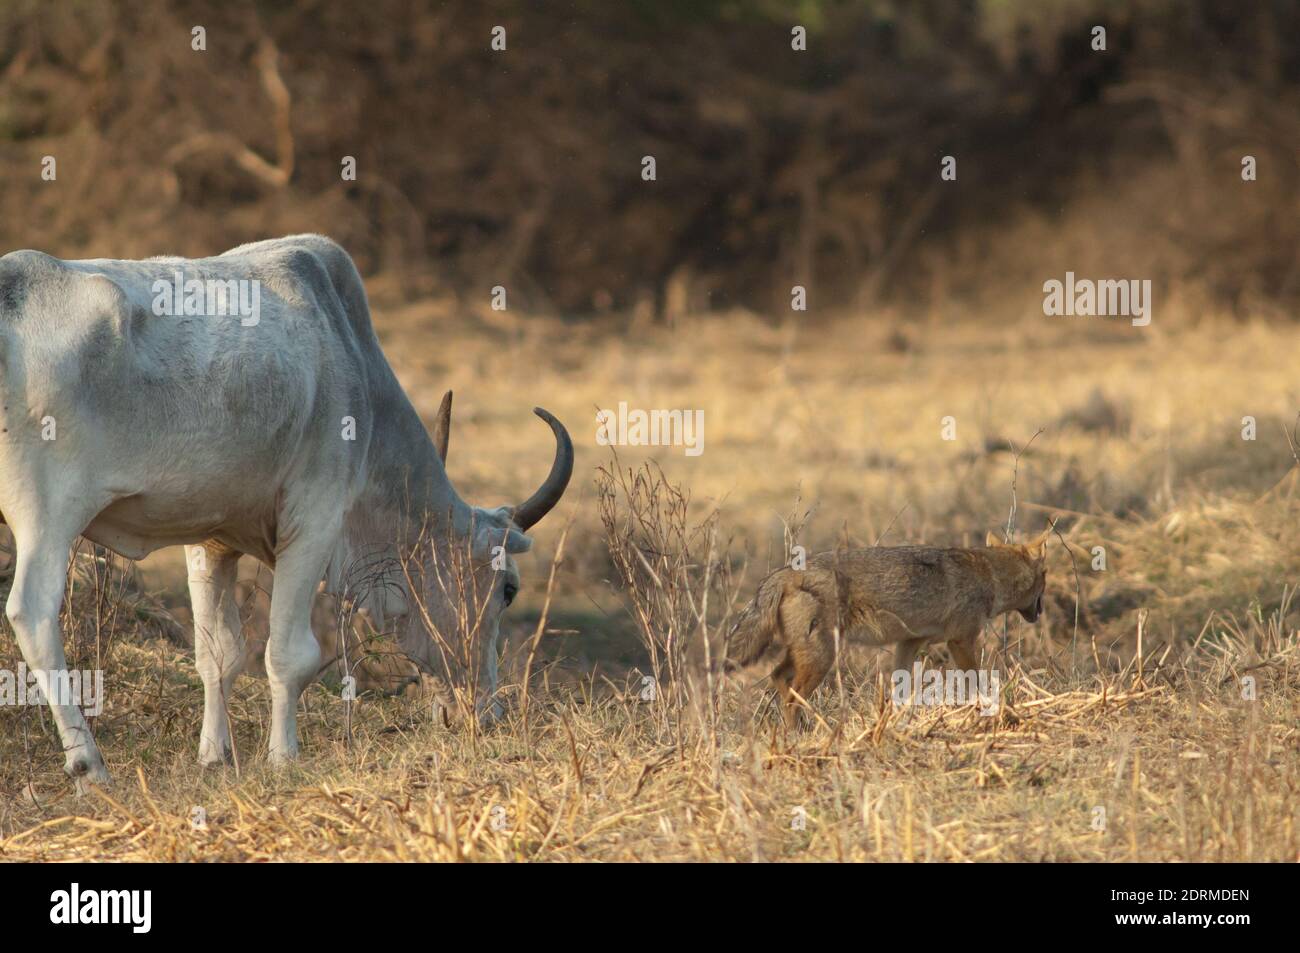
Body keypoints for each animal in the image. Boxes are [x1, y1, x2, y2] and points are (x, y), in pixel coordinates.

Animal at [0, 234, 572, 785]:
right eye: (508, 589)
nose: (486, 714)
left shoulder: (210, 537)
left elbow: (219, 654)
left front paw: (214, 756)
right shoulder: (315, 517)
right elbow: (288, 654)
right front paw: (283, 757)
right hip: (50, 514)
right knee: (34, 614)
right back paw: (89, 764)